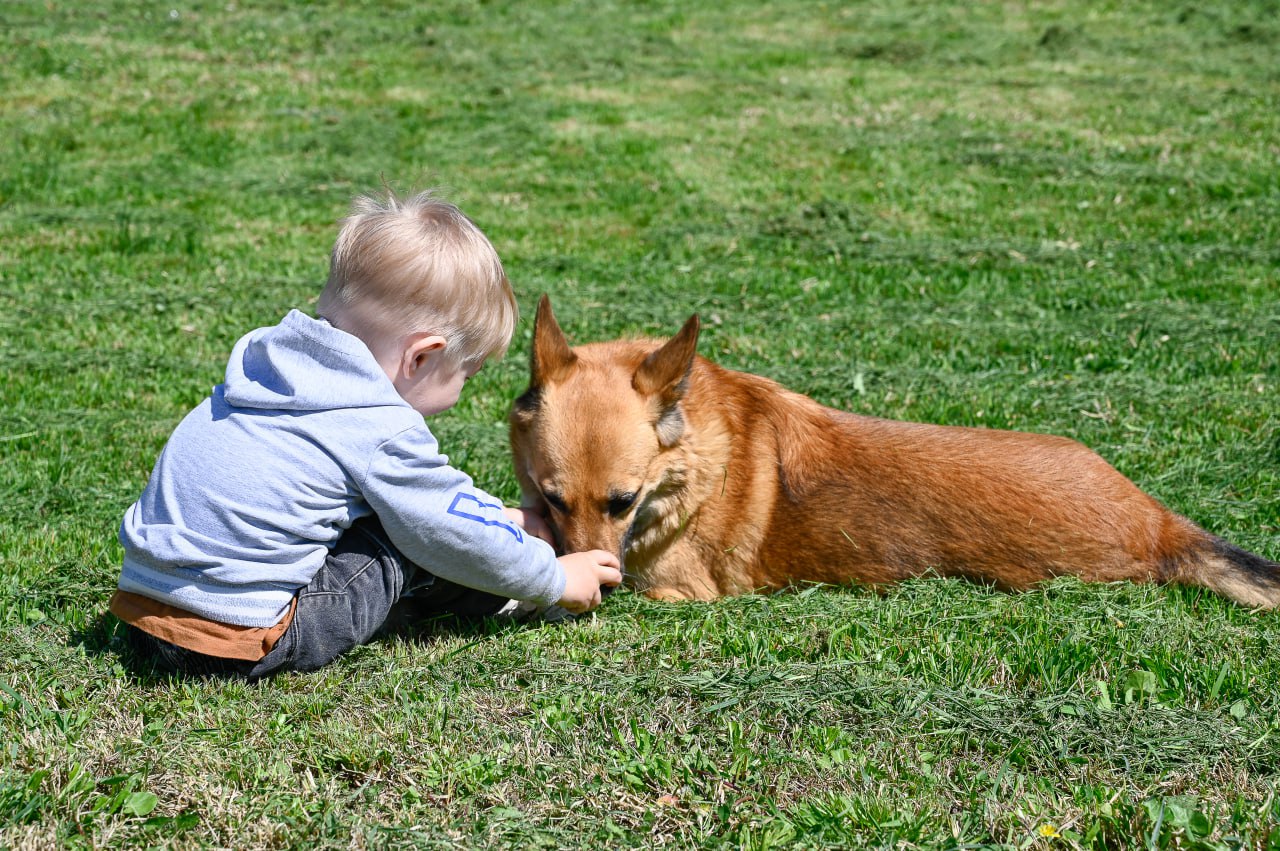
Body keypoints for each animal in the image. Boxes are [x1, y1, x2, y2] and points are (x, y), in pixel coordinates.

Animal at [509, 295, 1280, 606]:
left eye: (623, 501)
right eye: (552, 498)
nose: (597, 587)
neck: (693, 455)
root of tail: (1162, 524)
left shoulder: (678, 592)